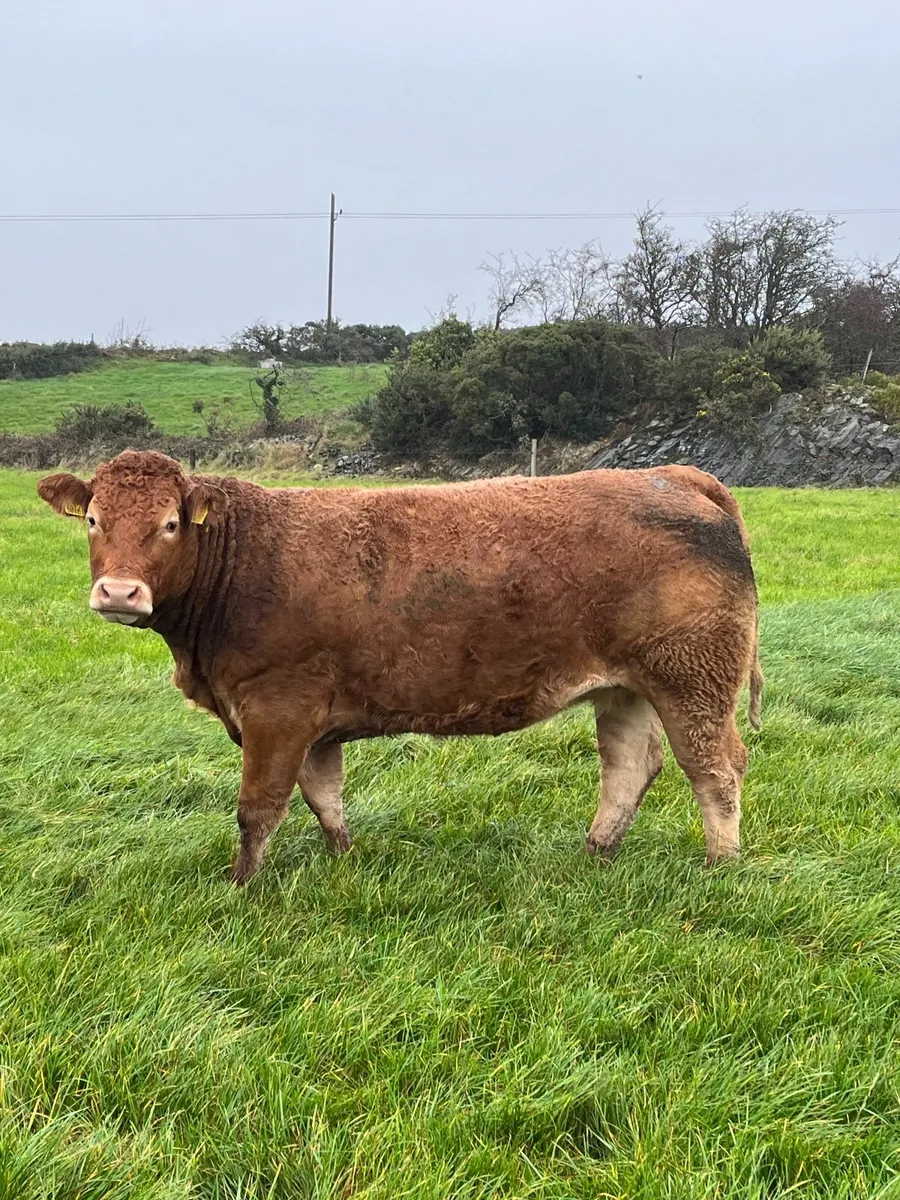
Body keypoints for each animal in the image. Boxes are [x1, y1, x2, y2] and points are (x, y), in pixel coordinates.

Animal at [38, 451, 762, 886]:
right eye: (94, 519)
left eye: (168, 524)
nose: (120, 593)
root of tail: (674, 475)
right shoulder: (312, 720)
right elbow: (322, 794)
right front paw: (343, 857)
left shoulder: (277, 707)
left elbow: (258, 806)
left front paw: (241, 886)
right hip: (626, 687)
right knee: (631, 766)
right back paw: (596, 852)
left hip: (693, 677)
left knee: (716, 768)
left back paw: (722, 867)